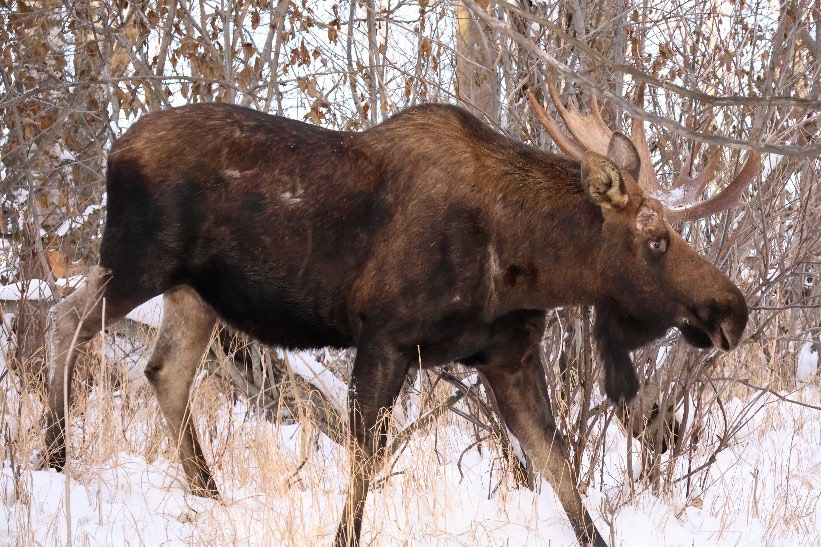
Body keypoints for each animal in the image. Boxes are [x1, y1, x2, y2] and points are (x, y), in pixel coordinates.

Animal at [41, 92, 753, 546]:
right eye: (655, 241)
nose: (733, 311)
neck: (525, 257)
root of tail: (114, 150)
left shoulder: (509, 355)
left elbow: (560, 471)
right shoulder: (384, 338)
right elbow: (364, 466)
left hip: (193, 294)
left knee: (164, 370)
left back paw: (210, 496)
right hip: (134, 262)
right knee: (63, 318)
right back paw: (52, 457)